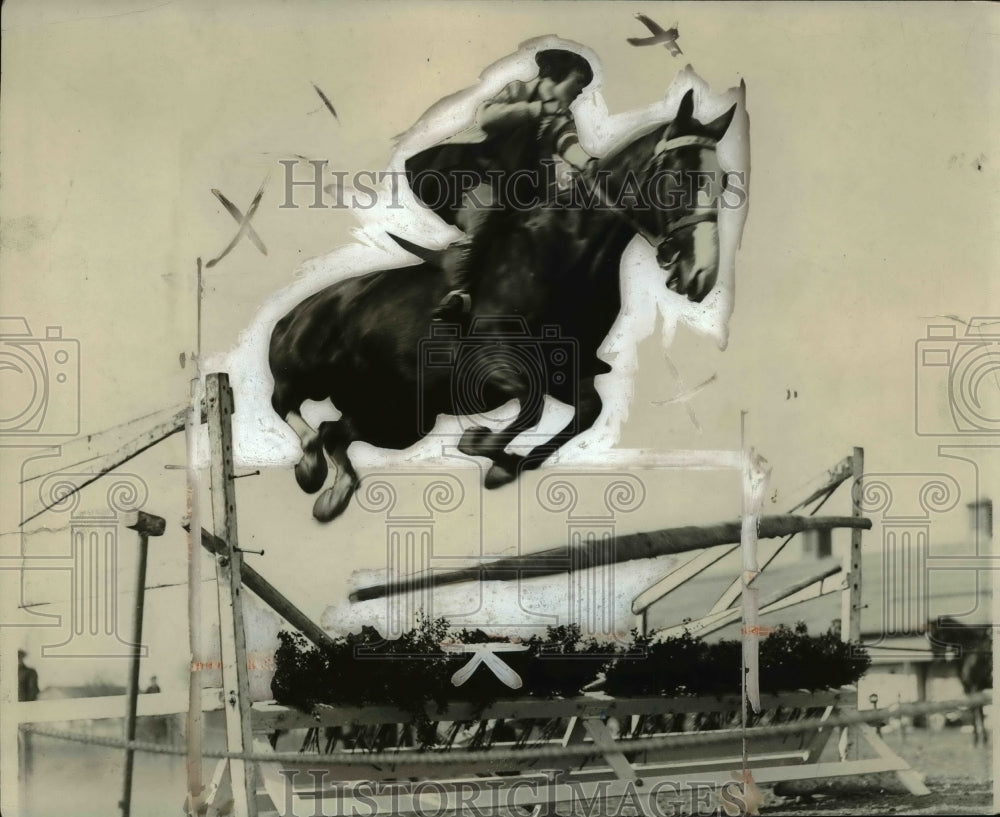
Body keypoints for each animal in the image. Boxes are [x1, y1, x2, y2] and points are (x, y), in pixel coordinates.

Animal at [270, 91, 740, 524]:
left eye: (724, 181)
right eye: (677, 176)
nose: (702, 275)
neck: (567, 256)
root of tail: (293, 313)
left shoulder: (568, 373)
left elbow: (585, 414)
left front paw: (504, 466)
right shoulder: (495, 365)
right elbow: (531, 407)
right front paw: (480, 445)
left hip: (397, 416)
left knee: (336, 432)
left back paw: (333, 494)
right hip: (311, 373)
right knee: (287, 404)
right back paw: (310, 465)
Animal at [928, 616, 992, 744]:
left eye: (936, 635)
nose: (936, 657)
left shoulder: (971, 689)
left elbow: (976, 713)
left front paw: (978, 740)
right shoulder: (978, 690)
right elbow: (979, 713)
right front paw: (982, 739)